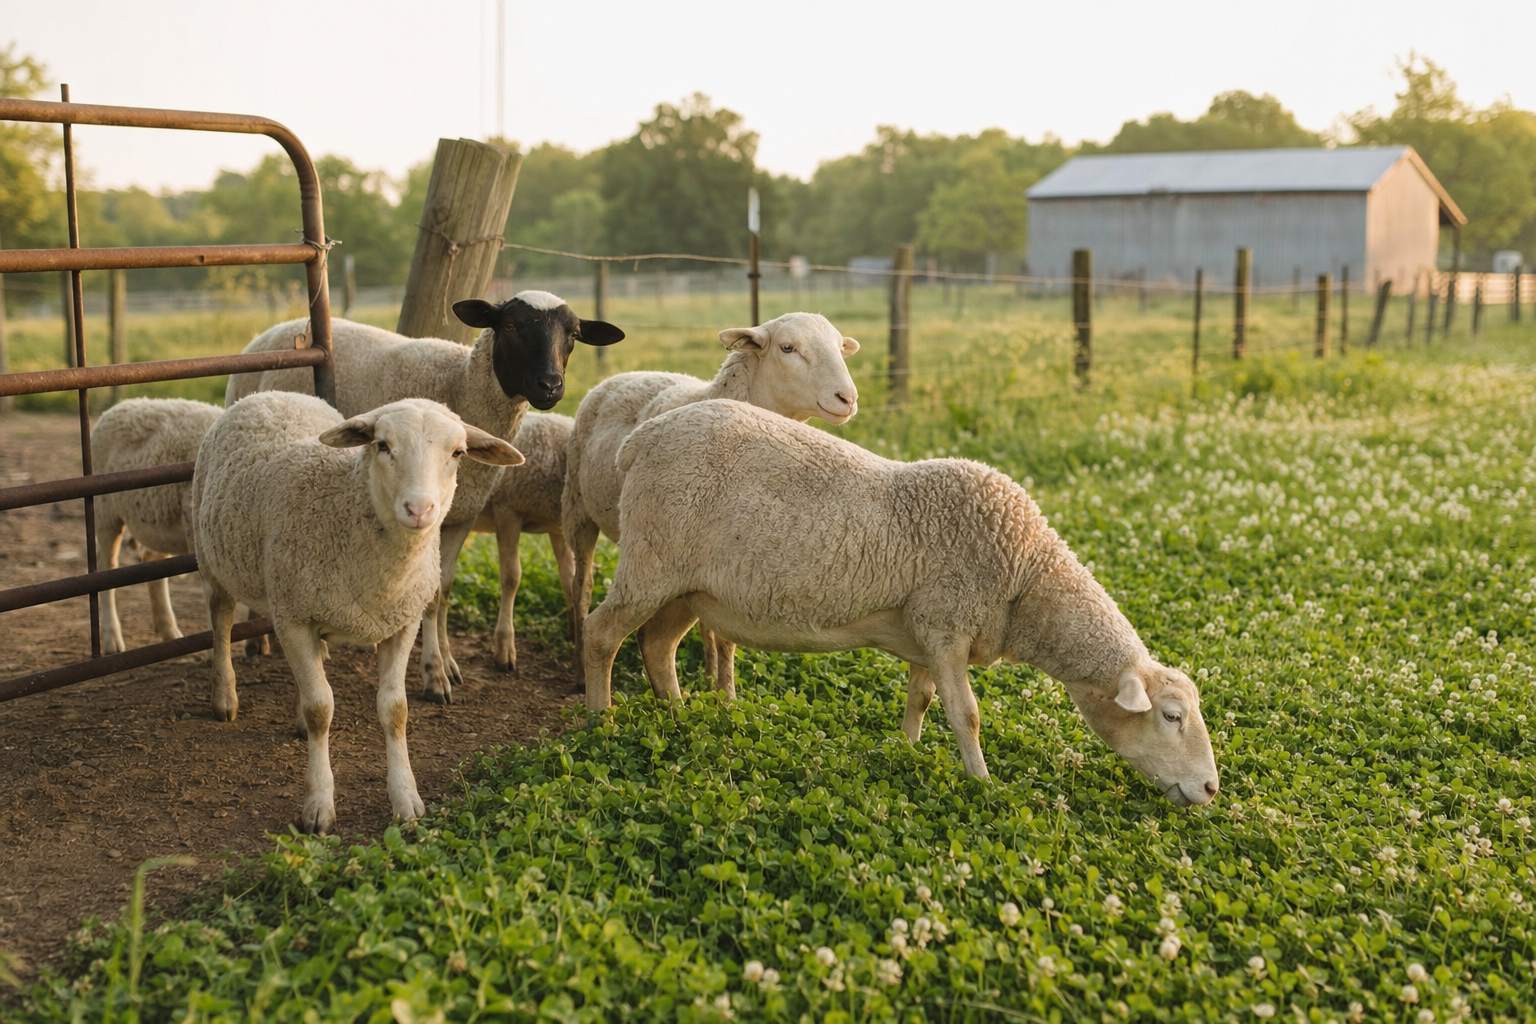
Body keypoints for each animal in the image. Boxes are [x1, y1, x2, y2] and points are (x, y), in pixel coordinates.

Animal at [91, 398, 221, 654]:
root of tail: (117, 406)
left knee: (152, 560)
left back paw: (168, 630)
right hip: (105, 513)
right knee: (106, 568)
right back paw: (112, 638)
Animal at [189, 391, 523, 832]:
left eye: (458, 452)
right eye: (382, 445)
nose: (420, 509)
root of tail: (269, 396)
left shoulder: (401, 621)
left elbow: (395, 710)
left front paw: (406, 800)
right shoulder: (294, 617)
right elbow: (321, 709)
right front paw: (318, 806)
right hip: (214, 561)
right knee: (222, 621)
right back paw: (224, 696)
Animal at [225, 291, 623, 702]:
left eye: (573, 334)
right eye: (512, 326)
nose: (550, 385)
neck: (461, 383)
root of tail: (277, 330)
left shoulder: (462, 514)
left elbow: (442, 589)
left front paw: (446, 661)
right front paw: (434, 674)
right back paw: (260, 640)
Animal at [562, 311, 860, 693]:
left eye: (840, 347)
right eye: (787, 348)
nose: (847, 398)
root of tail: (619, 376)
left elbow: (718, 630)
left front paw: (717, 687)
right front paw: (724, 692)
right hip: (577, 509)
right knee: (580, 587)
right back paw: (579, 670)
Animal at [581, 399, 1220, 807]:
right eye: (1171, 716)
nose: (1213, 789)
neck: (1026, 576)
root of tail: (643, 438)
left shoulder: (926, 636)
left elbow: (921, 699)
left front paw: (907, 753)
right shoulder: (947, 623)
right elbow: (967, 714)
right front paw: (983, 784)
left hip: (687, 585)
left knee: (658, 646)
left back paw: (681, 718)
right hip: (651, 561)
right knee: (600, 634)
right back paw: (601, 720)